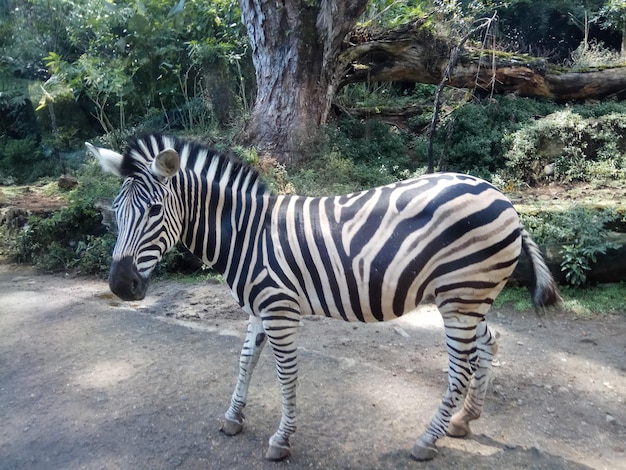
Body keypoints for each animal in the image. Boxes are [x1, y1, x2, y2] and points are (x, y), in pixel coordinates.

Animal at [86, 134, 556, 460]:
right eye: (115, 211)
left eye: (153, 211)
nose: (120, 285)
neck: (247, 235)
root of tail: (502, 197)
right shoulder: (258, 308)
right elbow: (245, 360)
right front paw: (234, 418)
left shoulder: (279, 309)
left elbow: (285, 374)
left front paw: (281, 439)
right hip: (471, 295)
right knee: (489, 343)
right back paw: (465, 420)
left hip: (461, 297)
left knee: (460, 369)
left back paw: (427, 440)